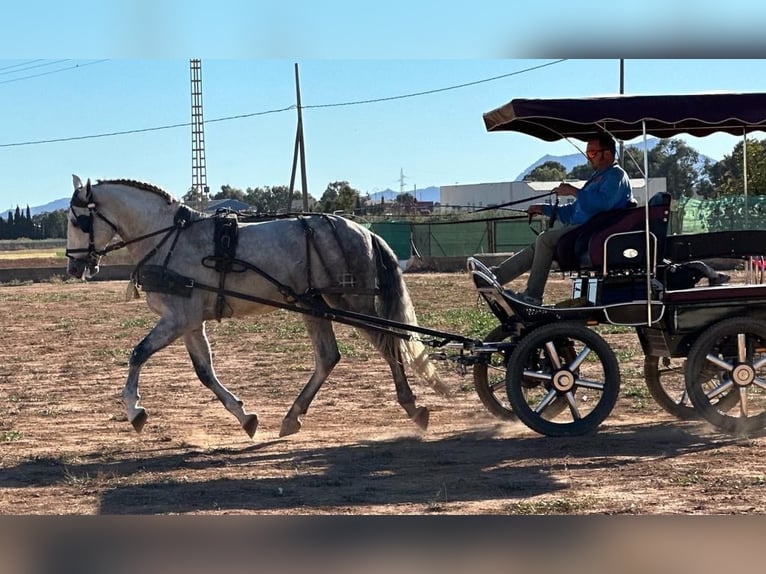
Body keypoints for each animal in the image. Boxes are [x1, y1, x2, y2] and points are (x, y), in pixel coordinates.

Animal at [67, 176, 450, 440]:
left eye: (77, 220)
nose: (74, 266)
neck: (168, 237)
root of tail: (364, 230)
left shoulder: (177, 318)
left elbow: (138, 354)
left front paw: (135, 411)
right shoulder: (190, 322)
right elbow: (205, 372)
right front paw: (246, 418)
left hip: (351, 301)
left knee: (389, 344)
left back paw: (412, 406)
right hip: (315, 305)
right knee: (329, 357)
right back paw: (293, 416)